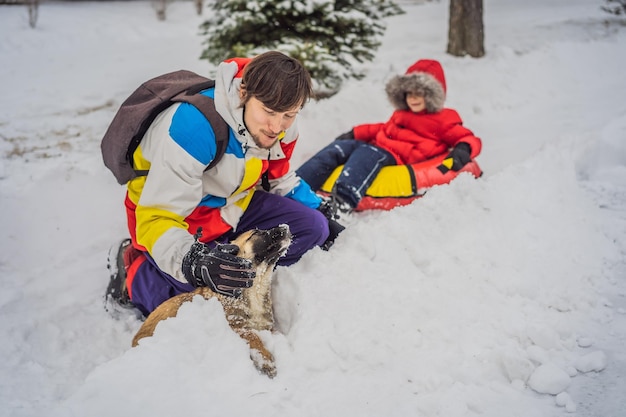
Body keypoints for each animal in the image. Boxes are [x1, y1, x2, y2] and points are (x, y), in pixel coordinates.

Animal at [130, 224, 292, 376]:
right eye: (256, 233)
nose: (285, 227)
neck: (255, 289)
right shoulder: (234, 326)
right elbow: (252, 335)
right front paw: (265, 359)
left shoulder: (267, 327)